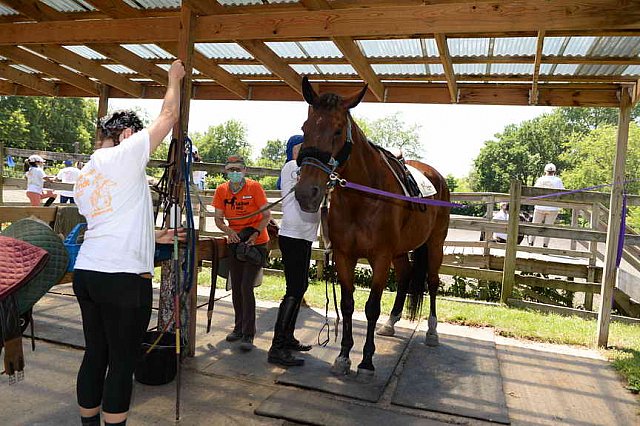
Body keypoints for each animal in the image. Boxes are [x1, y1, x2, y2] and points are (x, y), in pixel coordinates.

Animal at [296, 77, 450, 380]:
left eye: (338, 130)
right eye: (305, 128)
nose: (307, 192)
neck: (363, 197)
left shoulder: (380, 258)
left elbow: (371, 307)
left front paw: (366, 361)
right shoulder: (344, 256)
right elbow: (347, 305)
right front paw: (344, 356)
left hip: (435, 245)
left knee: (432, 281)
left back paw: (432, 331)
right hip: (400, 252)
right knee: (405, 276)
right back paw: (391, 323)